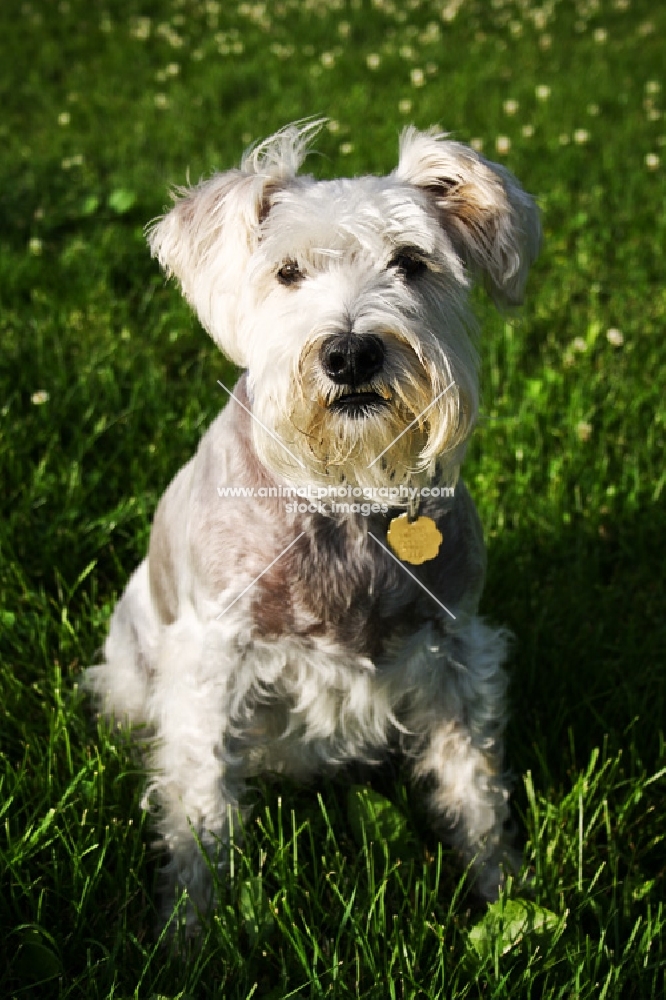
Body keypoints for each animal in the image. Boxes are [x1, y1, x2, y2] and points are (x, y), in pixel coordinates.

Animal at [83, 121, 540, 924]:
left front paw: (501, 887)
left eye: (411, 261)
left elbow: (473, 783)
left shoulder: (454, 649)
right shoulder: (211, 666)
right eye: (287, 271)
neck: (343, 501)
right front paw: (190, 928)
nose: (351, 353)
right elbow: (200, 804)